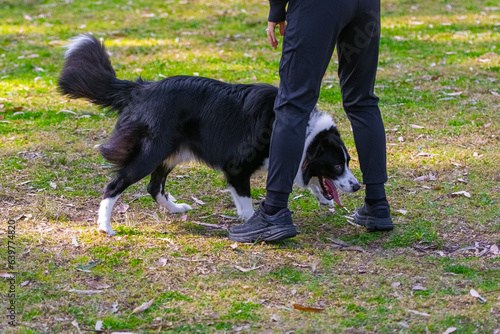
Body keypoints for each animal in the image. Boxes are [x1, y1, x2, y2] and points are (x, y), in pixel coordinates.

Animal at [58, 34, 360, 235]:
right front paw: (253, 223)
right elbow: (246, 202)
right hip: (150, 153)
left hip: (171, 153)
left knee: (153, 187)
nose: (357, 186)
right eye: (336, 165)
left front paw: (322, 198)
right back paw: (105, 225)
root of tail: (142, 89)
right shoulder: (237, 168)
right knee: (114, 185)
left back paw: (176, 209)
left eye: (347, 163)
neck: (304, 131)